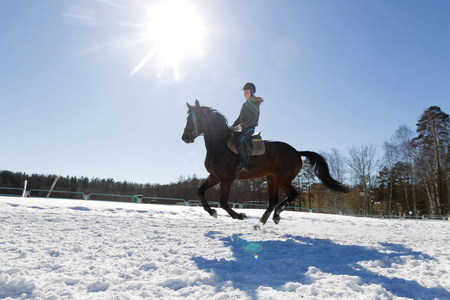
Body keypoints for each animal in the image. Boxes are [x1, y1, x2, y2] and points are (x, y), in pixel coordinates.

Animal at [180, 99, 348, 229]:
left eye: (197, 117)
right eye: (187, 118)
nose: (185, 137)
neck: (220, 145)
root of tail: (296, 152)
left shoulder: (227, 179)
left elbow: (223, 202)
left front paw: (240, 215)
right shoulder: (215, 177)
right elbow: (200, 192)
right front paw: (212, 212)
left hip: (282, 179)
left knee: (292, 195)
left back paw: (276, 216)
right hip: (272, 178)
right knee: (273, 201)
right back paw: (261, 223)